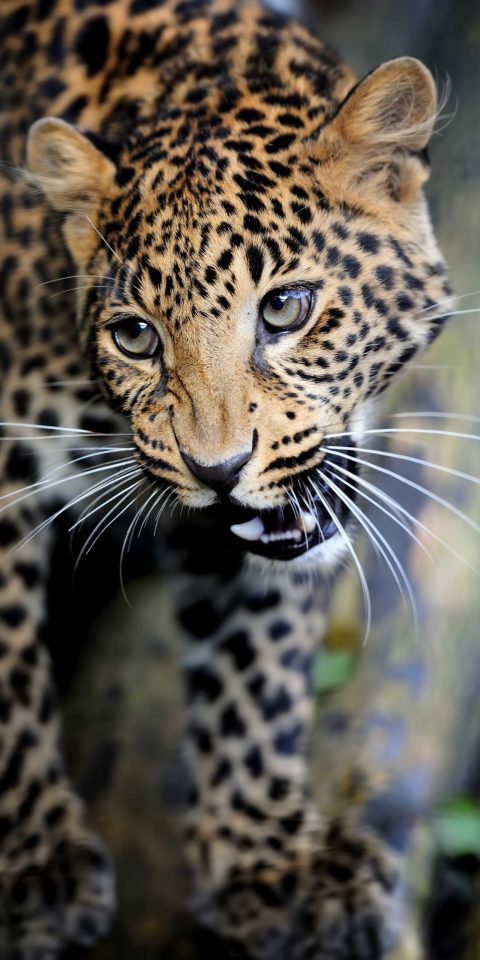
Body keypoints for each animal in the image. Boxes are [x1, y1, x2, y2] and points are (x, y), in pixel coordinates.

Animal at [0, 0, 458, 956]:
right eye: (135, 336)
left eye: (284, 308)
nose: (217, 471)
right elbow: (6, 668)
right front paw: (38, 869)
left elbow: (257, 665)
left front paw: (271, 864)